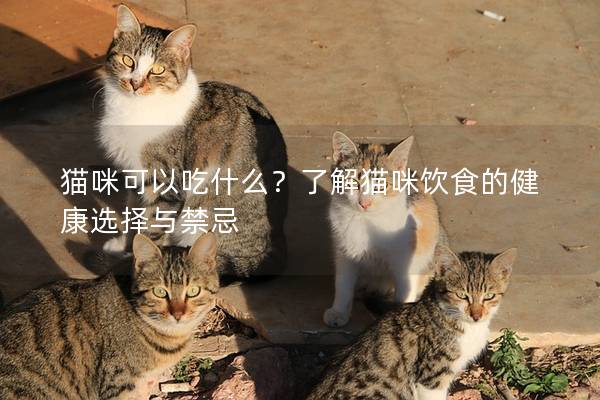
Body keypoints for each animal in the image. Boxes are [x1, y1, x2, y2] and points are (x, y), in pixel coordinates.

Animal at [98, 5, 288, 279]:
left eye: (157, 70)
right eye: (127, 60)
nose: (135, 83)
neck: (133, 107)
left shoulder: (166, 184)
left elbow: (152, 225)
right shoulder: (134, 174)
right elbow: (133, 212)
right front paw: (124, 244)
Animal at [324, 132, 447, 327]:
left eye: (381, 185)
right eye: (353, 181)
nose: (365, 203)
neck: (366, 220)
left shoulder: (406, 261)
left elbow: (405, 293)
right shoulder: (344, 251)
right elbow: (343, 284)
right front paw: (338, 312)